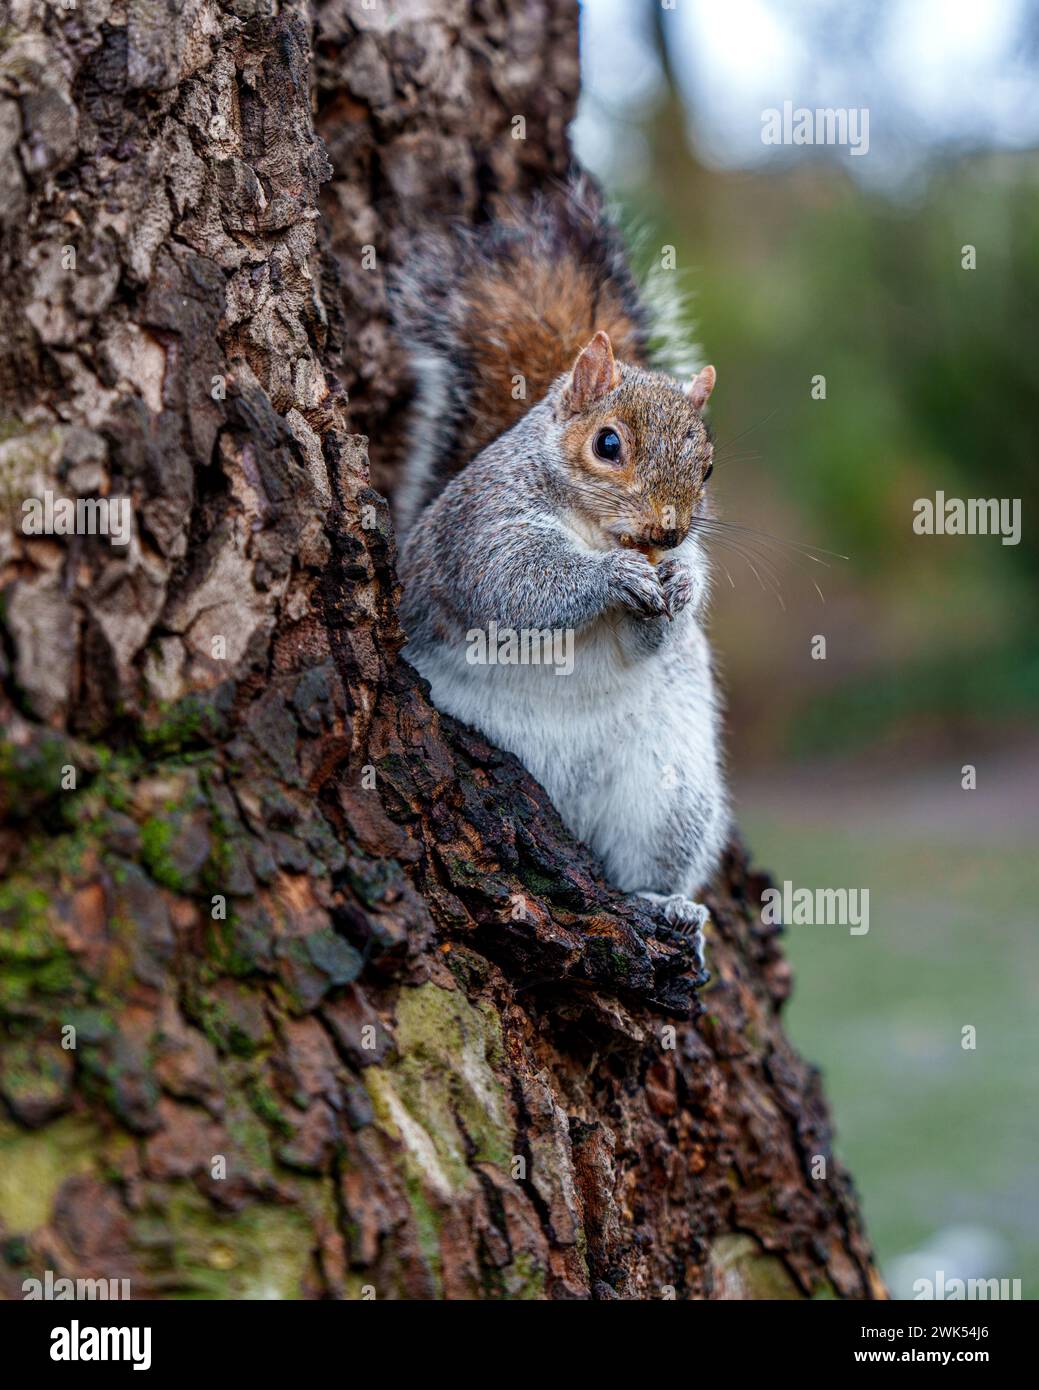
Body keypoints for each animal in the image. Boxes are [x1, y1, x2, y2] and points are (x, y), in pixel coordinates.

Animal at [389, 177, 729, 966]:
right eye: (607, 444)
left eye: (706, 467)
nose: (669, 531)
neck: (596, 532)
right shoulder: (480, 528)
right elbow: (516, 583)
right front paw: (609, 581)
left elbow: (652, 634)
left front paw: (682, 588)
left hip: (669, 797)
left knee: (642, 865)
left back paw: (666, 905)